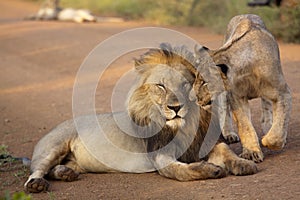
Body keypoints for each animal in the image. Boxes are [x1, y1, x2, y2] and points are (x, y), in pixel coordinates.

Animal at [24, 43, 258, 192]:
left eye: (185, 85)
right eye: (161, 86)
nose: (175, 108)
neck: (184, 126)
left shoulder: (204, 145)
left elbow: (227, 151)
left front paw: (244, 163)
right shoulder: (161, 157)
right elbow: (182, 172)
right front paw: (211, 169)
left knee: (54, 169)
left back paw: (65, 173)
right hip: (53, 146)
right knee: (38, 169)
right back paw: (37, 184)